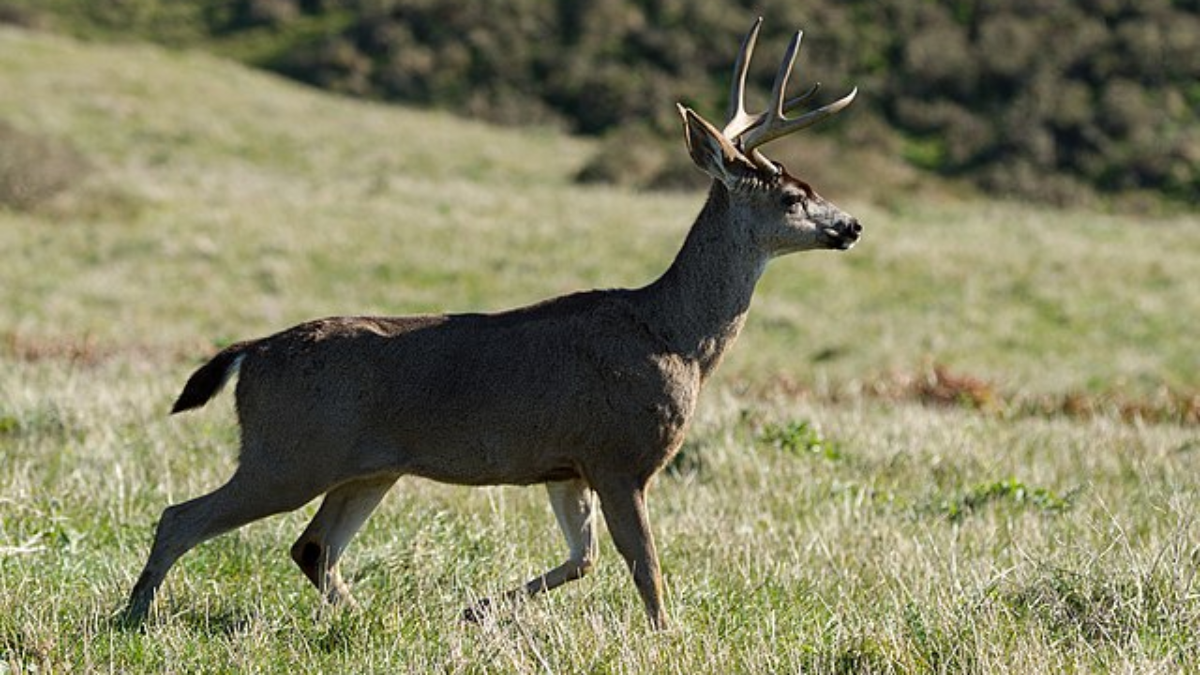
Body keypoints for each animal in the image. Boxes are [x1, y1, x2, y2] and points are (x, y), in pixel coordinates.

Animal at [124, 18, 864, 629]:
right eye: (794, 196)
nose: (852, 224)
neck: (675, 336)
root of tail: (250, 352)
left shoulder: (567, 464)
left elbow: (583, 558)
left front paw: (474, 608)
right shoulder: (619, 453)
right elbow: (644, 567)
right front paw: (666, 637)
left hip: (365, 467)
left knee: (311, 547)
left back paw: (372, 620)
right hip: (291, 450)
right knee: (182, 518)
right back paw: (134, 615)